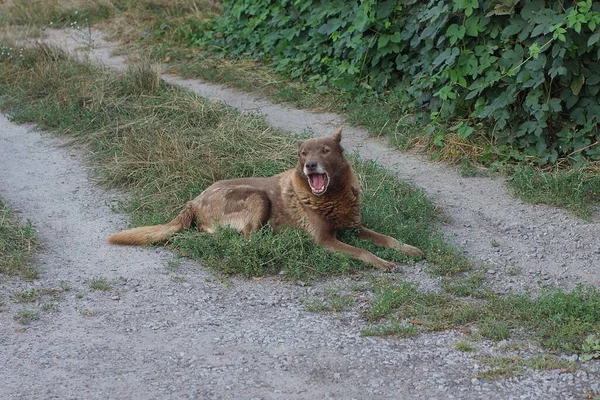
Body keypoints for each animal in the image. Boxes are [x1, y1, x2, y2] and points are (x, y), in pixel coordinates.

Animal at [109, 128, 426, 270]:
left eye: (324, 150)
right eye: (303, 154)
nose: (310, 166)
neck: (331, 197)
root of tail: (193, 201)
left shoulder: (355, 228)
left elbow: (387, 238)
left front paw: (409, 249)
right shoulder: (325, 240)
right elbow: (362, 252)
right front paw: (384, 263)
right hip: (257, 196)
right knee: (248, 238)